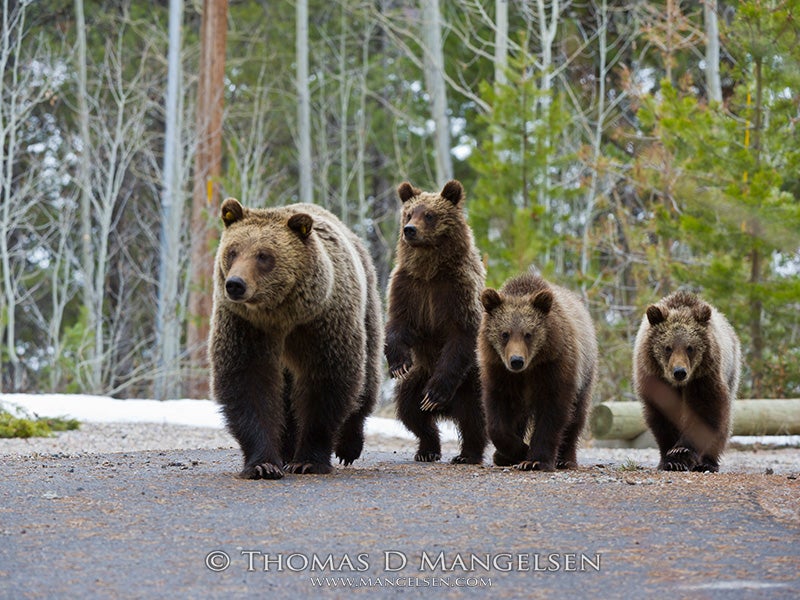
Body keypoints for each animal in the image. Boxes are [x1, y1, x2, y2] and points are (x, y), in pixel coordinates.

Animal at [209, 197, 383, 480]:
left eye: (264, 255)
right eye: (233, 251)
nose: (235, 284)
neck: (282, 314)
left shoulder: (321, 323)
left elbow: (327, 381)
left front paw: (309, 461)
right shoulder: (246, 325)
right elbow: (248, 381)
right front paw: (263, 464)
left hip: (367, 307)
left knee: (367, 377)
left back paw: (349, 446)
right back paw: (287, 449)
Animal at [384, 179, 488, 464]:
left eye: (429, 215)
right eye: (409, 213)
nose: (409, 230)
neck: (430, 270)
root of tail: (448, 410)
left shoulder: (458, 289)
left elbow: (461, 334)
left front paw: (435, 394)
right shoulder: (408, 286)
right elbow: (398, 323)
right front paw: (398, 363)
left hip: (472, 380)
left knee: (474, 416)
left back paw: (467, 453)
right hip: (419, 376)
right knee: (410, 410)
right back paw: (427, 449)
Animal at [477, 272, 598, 471]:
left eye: (528, 334)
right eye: (505, 334)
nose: (516, 361)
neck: (529, 368)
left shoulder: (555, 366)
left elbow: (552, 412)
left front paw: (534, 460)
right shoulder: (499, 371)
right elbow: (497, 416)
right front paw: (518, 450)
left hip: (586, 374)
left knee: (577, 417)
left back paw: (566, 459)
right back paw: (502, 457)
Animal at [633, 290, 741, 472]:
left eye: (690, 347)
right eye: (668, 347)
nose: (679, 372)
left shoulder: (703, 377)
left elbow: (704, 410)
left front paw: (681, 451)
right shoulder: (655, 379)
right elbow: (662, 414)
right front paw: (670, 459)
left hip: (731, 371)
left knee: (723, 424)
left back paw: (708, 462)